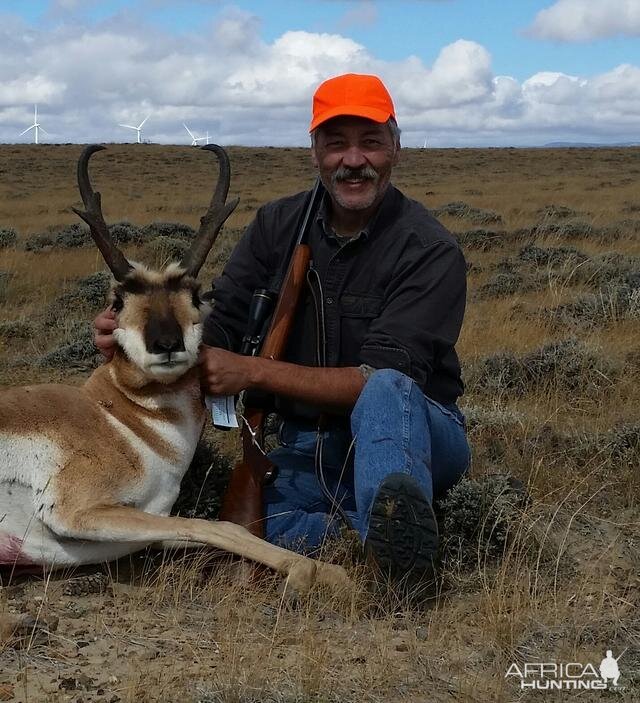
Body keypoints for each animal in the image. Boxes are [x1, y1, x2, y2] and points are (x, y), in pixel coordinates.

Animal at [0, 144, 350, 640]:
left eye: (197, 293)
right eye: (117, 300)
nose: (167, 343)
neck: (120, 418)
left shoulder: (153, 521)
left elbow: (217, 528)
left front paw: (329, 573)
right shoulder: (79, 511)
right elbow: (222, 528)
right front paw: (312, 574)